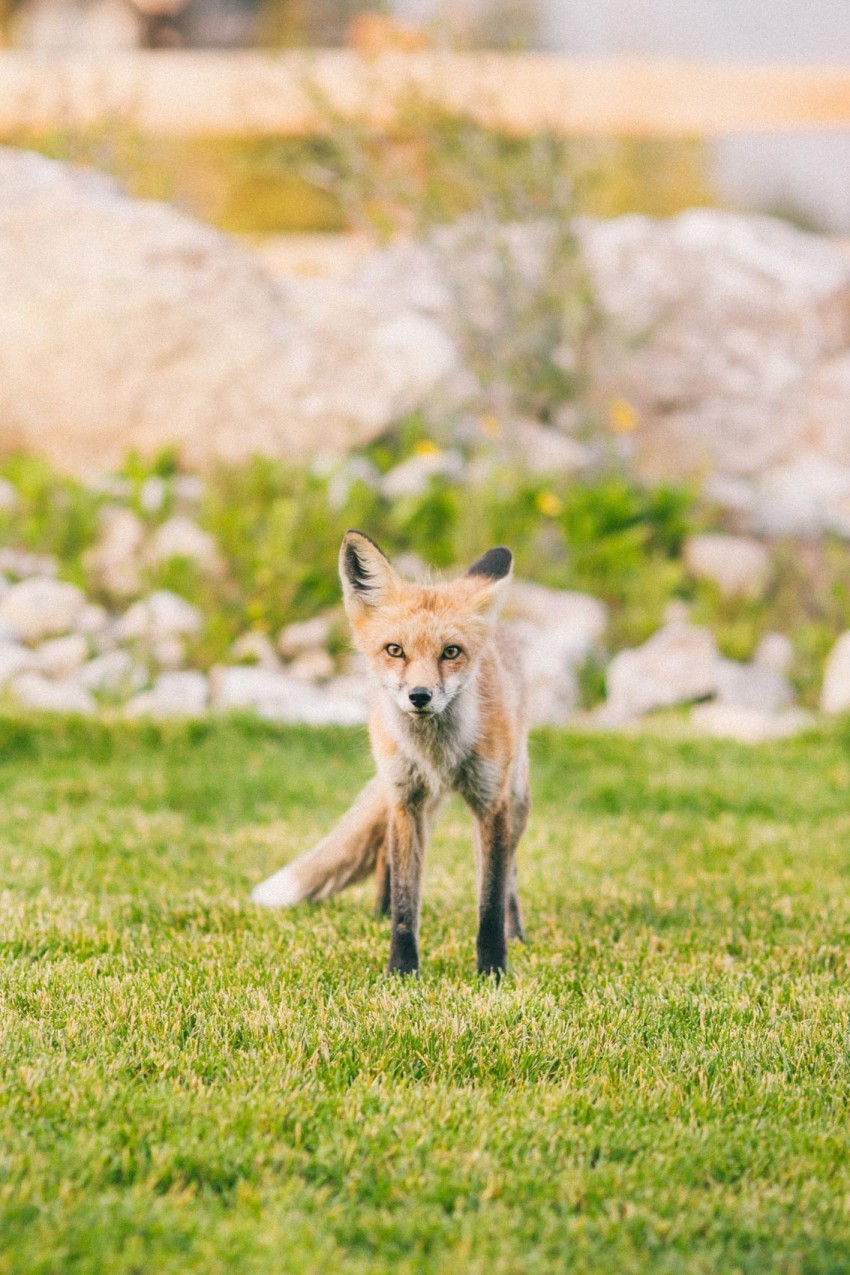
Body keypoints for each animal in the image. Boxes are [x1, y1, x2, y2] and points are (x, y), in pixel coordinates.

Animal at [252, 527, 527, 974]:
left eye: (451, 652)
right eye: (394, 650)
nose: (420, 696)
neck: (437, 757)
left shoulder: (490, 803)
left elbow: (490, 898)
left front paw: (493, 970)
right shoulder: (404, 797)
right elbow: (404, 897)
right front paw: (401, 969)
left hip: (516, 799)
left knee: (510, 876)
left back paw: (517, 934)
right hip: (409, 804)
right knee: (386, 858)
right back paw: (377, 915)